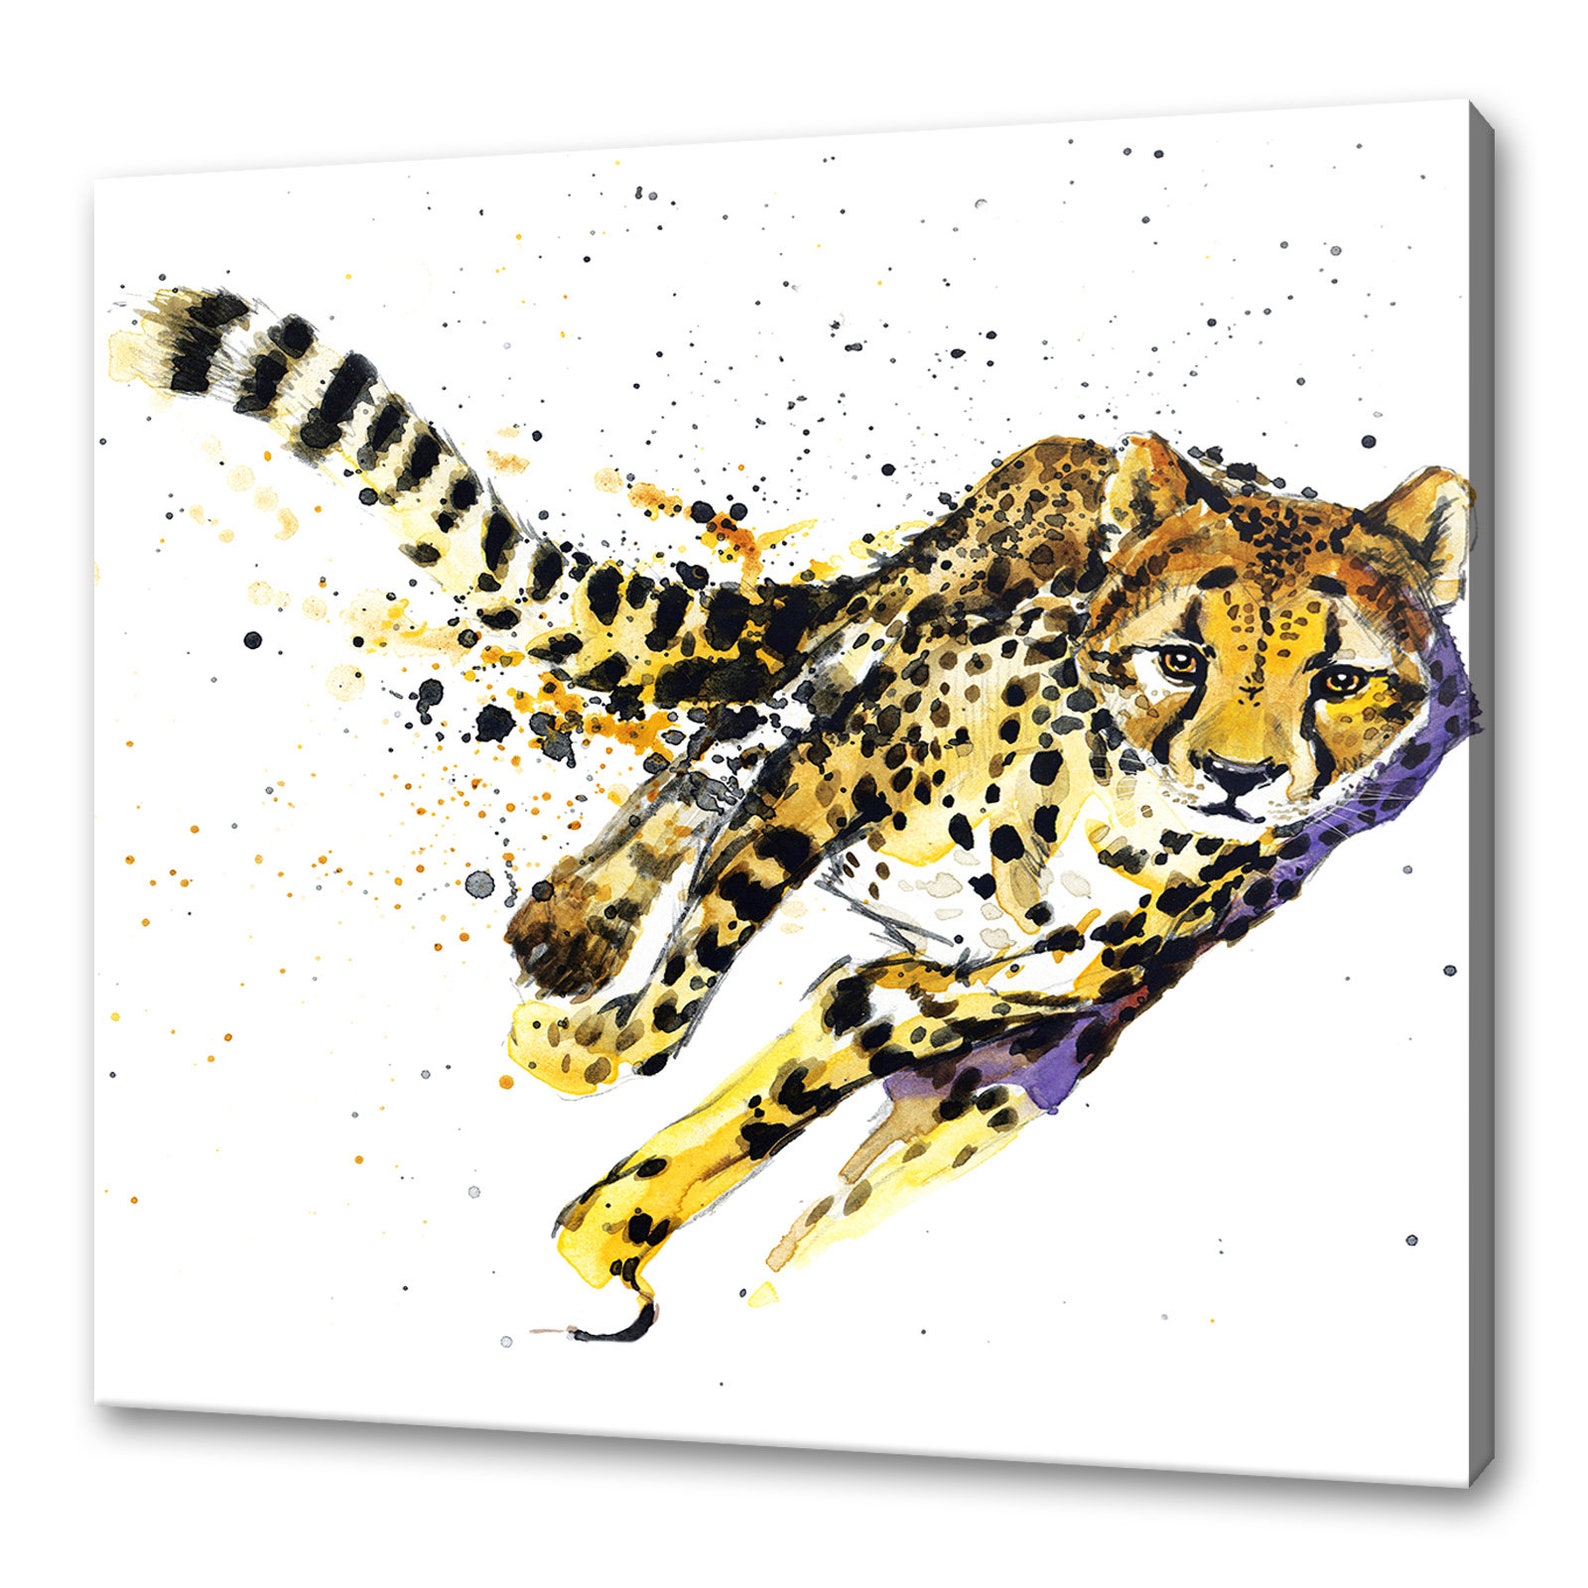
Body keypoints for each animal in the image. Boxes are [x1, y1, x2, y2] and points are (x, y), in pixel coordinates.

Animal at [111, 287, 1478, 1340]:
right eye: (1181, 657)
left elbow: (809, 1079)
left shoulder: (968, 1005)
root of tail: (1080, 450)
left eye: (1341, 679)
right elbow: (680, 993)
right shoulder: (833, 771)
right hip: (855, 654)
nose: (1241, 777)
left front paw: (615, 1232)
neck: (1118, 813)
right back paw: (580, 921)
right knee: (721, 738)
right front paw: (577, 1050)